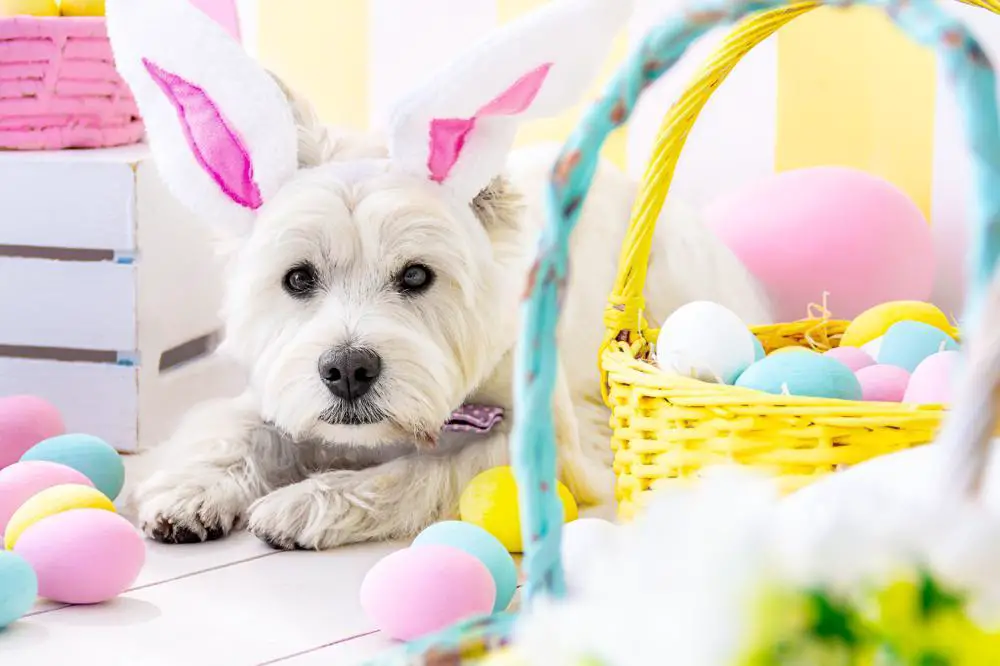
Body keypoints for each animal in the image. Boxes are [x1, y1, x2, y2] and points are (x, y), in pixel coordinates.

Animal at [105, 0, 768, 548]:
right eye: (297, 279)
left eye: (417, 277)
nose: (348, 370)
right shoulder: (272, 389)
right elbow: (233, 430)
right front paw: (188, 492)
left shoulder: (550, 444)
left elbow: (421, 471)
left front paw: (301, 505)